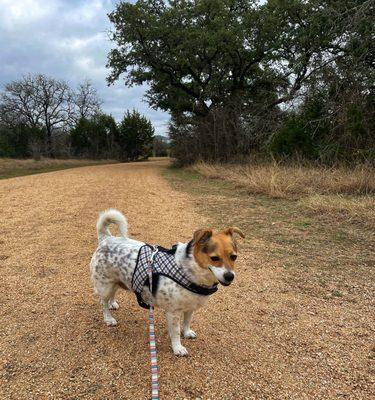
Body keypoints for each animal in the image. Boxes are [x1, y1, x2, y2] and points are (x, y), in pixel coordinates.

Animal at [89, 209, 245, 356]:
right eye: (214, 258)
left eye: (234, 257)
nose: (230, 276)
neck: (187, 269)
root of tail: (106, 239)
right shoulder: (173, 313)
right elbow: (175, 333)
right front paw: (177, 348)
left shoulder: (190, 308)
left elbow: (187, 322)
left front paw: (186, 332)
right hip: (105, 286)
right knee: (102, 303)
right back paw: (108, 318)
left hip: (113, 282)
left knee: (112, 295)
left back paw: (112, 304)